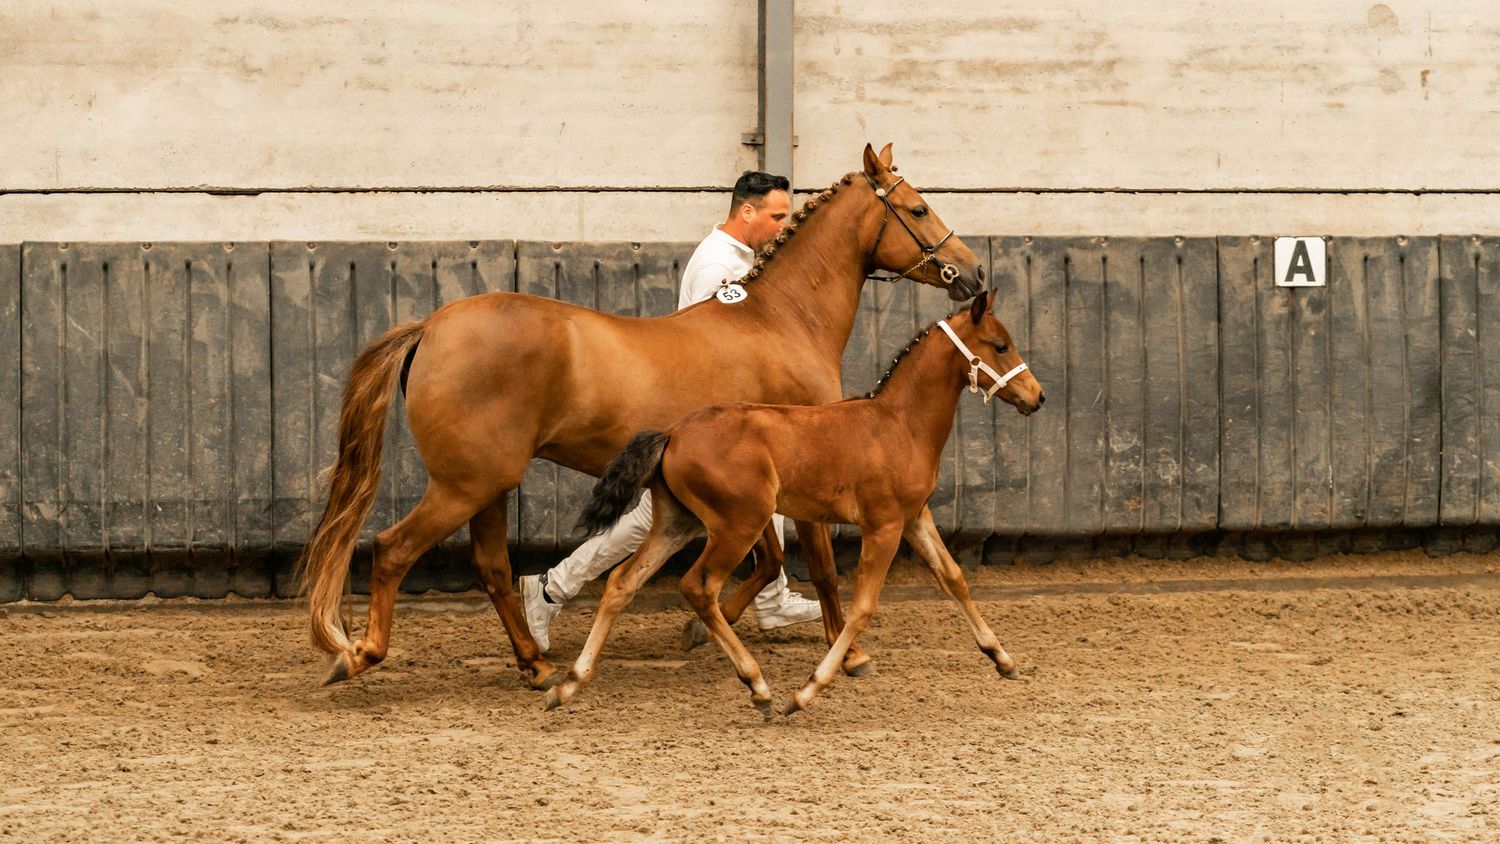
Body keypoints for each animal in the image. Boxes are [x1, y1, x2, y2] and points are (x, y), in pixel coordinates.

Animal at [301, 143, 987, 689]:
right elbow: (818, 566)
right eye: (918, 209)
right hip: (464, 484)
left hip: (486, 485)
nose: (975, 273)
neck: (780, 320)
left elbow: (766, 560)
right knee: (391, 551)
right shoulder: (805, 474)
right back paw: (359, 655)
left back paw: (537, 662)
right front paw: (848, 654)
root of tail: (432, 326)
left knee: (493, 567)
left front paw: (705, 628)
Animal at [544, 290, 1044, 715]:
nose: (1037, 397)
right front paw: (807, 691)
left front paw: (1001, 657)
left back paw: (569, 683)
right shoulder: (883, 527)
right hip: (739, 524)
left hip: (678, 522)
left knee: (622, 583)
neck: (898, 424)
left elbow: (954, 578)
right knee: (698, 587)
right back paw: (758, 686)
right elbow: (862, 607)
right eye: (1000, 345)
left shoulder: (915, 517)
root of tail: (673, 433)